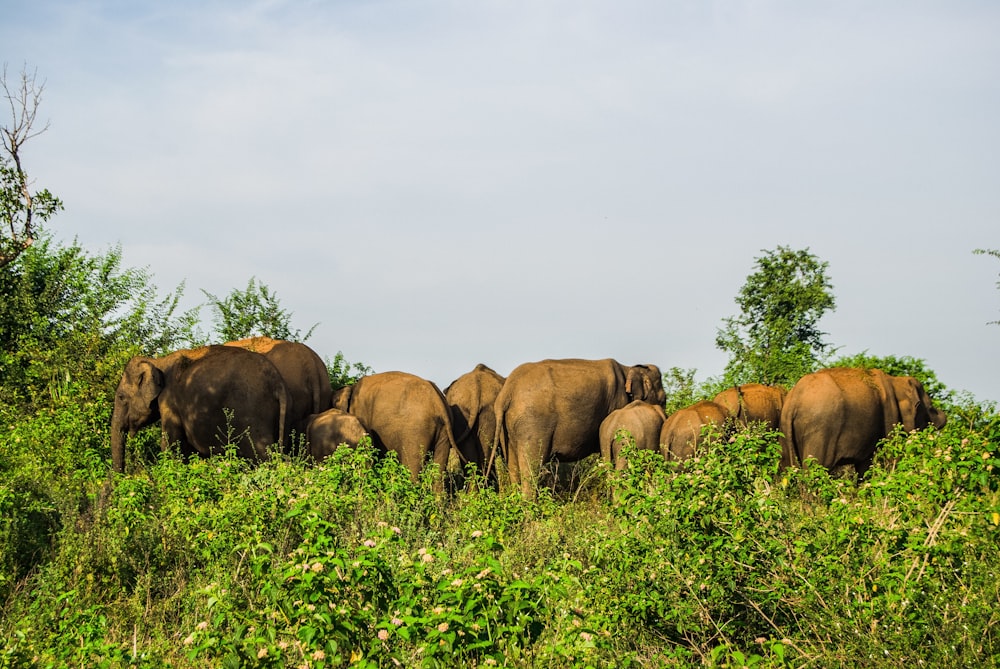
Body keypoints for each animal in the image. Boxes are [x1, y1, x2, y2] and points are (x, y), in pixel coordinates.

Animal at [111, 344, 288, 470]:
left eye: (121, 397)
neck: (158, 361)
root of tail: (276, 382)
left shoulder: (169, 401)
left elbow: (171, 445)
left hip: (252, 414)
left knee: (262, 456)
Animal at [490, 354, 664, 496]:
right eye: (663, 400)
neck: (627, 368)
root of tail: (507, 392)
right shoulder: (618, 401)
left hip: (509, 428)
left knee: (513, 466)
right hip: (532, 424)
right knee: (531, 468)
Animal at [780, 366, 944, 474]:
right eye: (930, 408)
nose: (944, 417)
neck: (895, 381)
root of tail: (794, 399)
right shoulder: (889, 415)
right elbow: (888, 457)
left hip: (785, 429)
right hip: (820, 431)